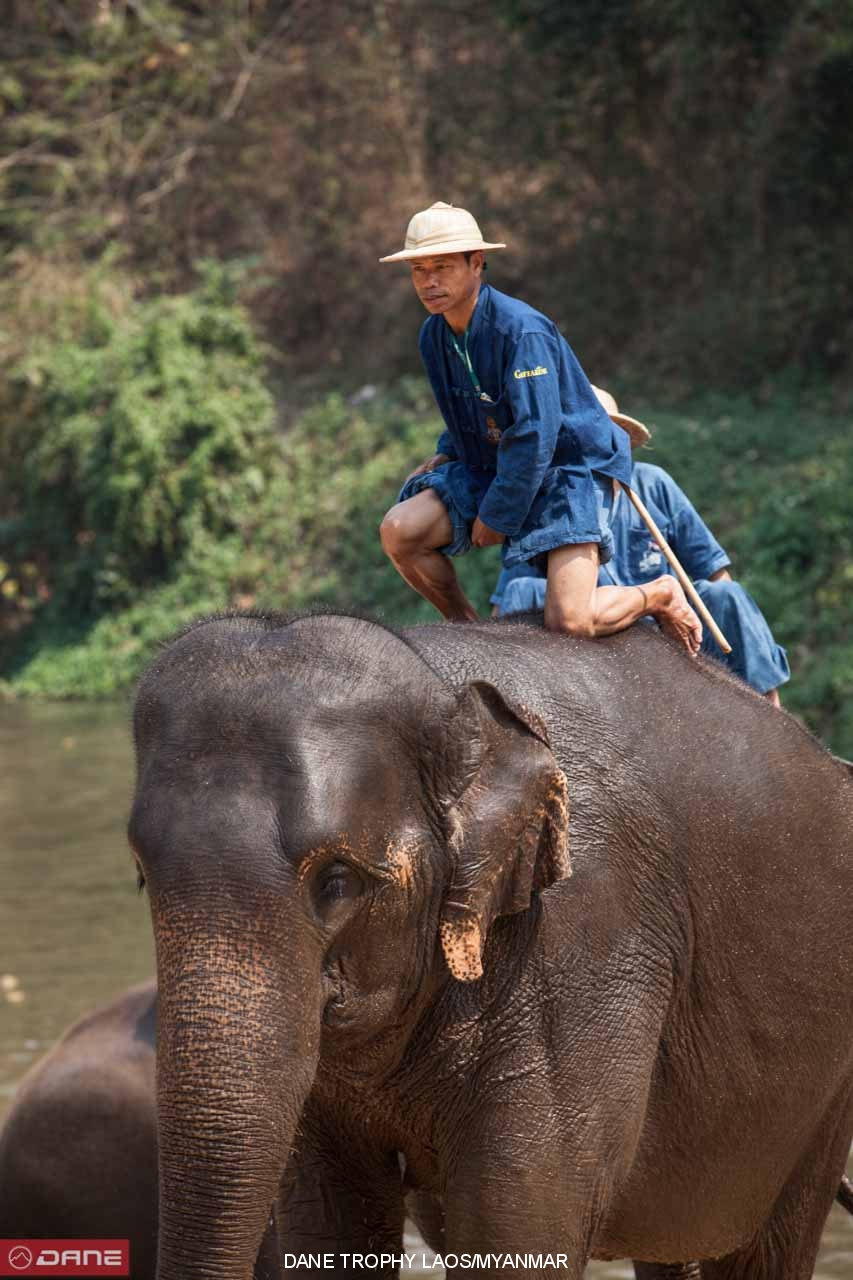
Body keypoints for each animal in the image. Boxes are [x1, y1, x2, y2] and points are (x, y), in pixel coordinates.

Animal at [128, 611, 850, 1280]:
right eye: (142, 874)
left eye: (336, 881)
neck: (441, 685)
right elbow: (327, 1226)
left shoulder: (581, 950)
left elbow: (517, 1232)